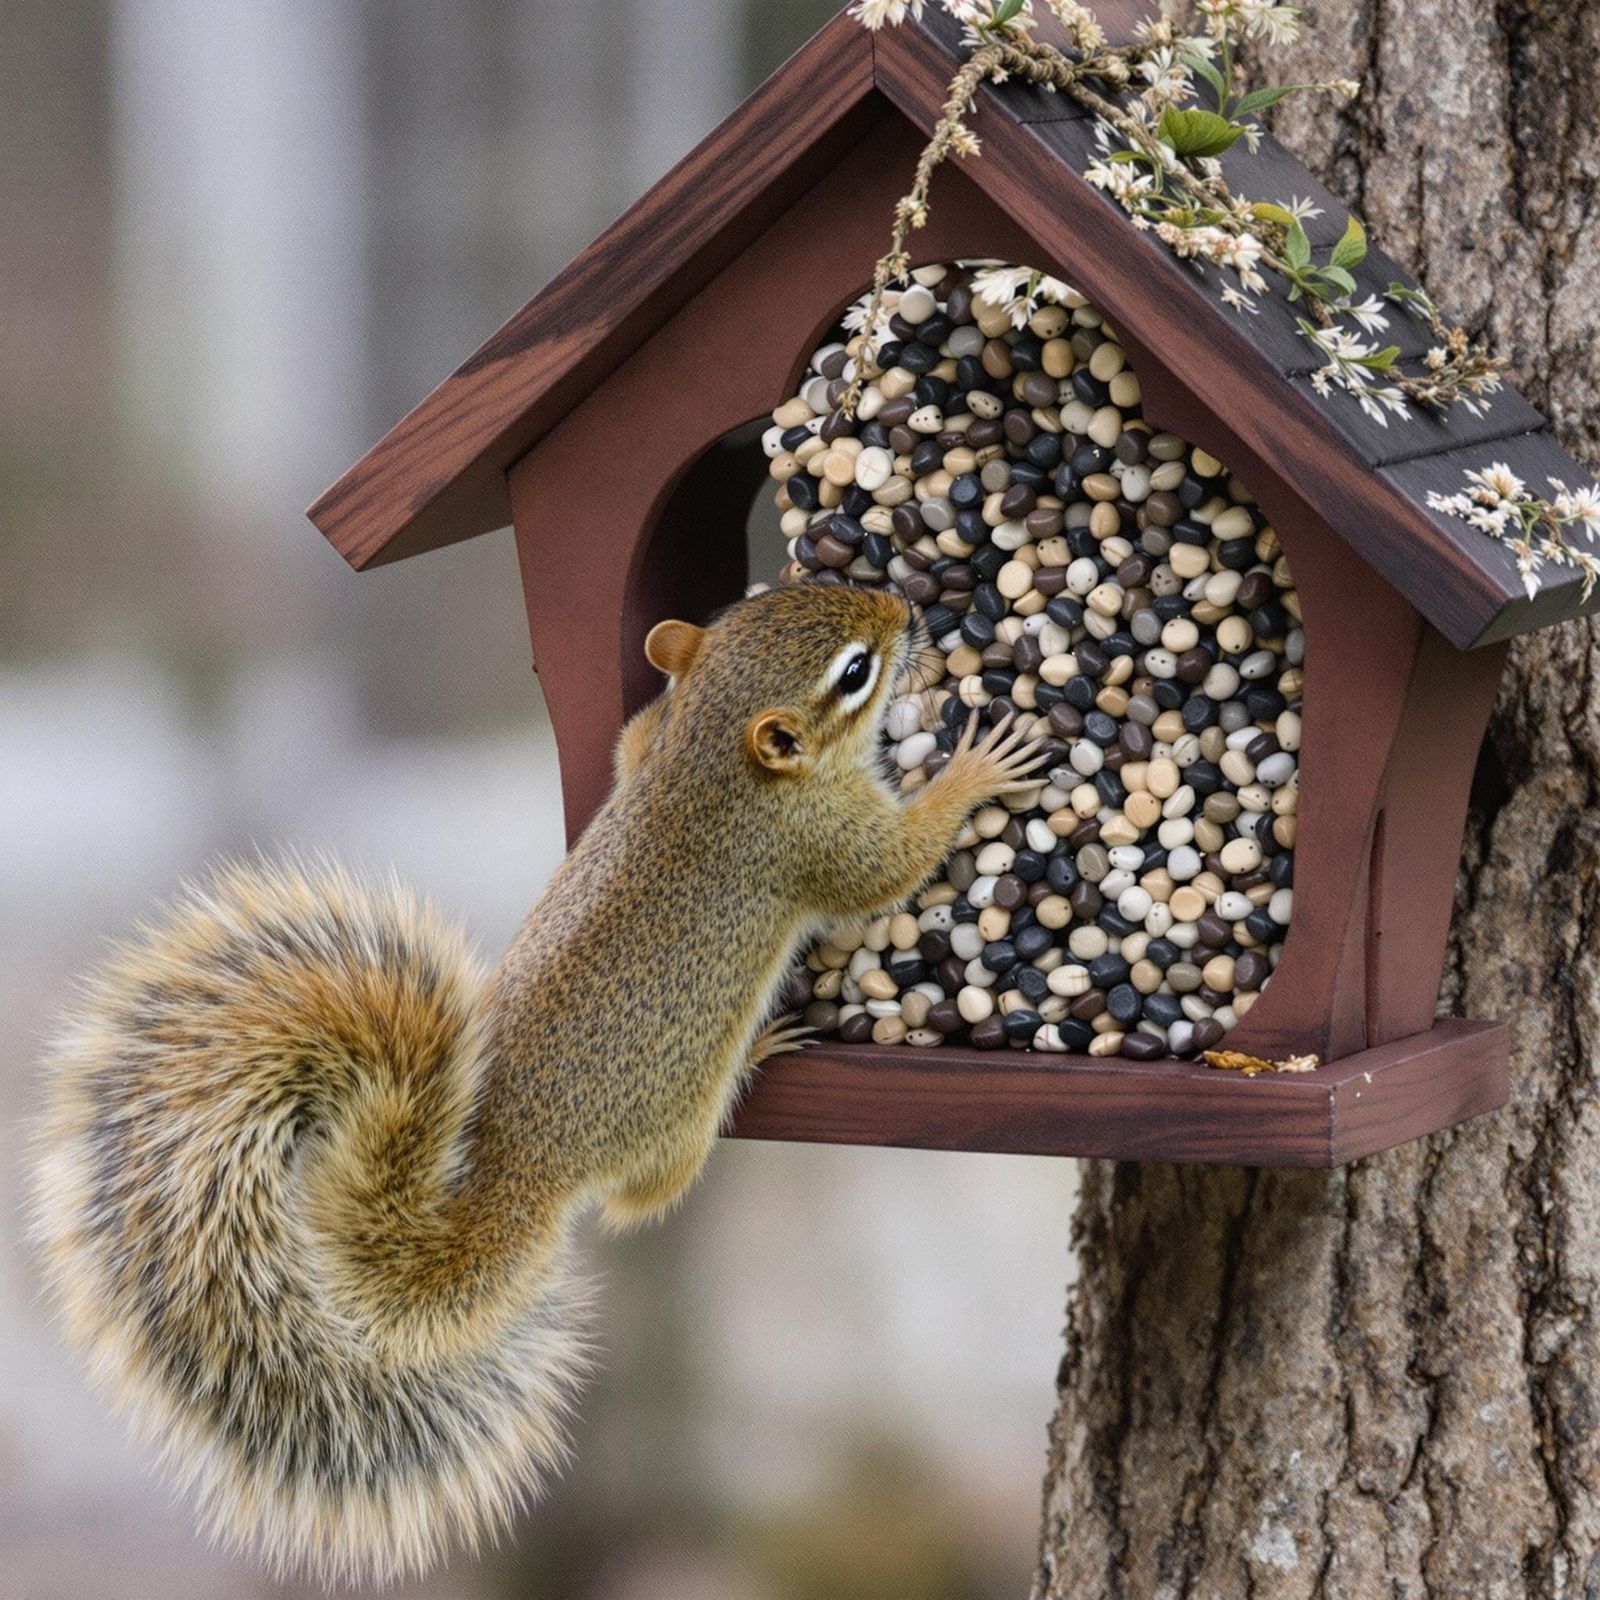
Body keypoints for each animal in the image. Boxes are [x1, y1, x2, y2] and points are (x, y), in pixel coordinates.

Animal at [29, 580, 1044, 1585]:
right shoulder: (815, 839)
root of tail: (517, 1169)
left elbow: (630, 738)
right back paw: (758, 1051)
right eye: (854, 672)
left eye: (786, 597)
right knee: (645, 1197)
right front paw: (978, 770)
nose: (902, 610)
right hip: (675, 1121)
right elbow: (885, 868)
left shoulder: (653, 755)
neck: (707, 762)